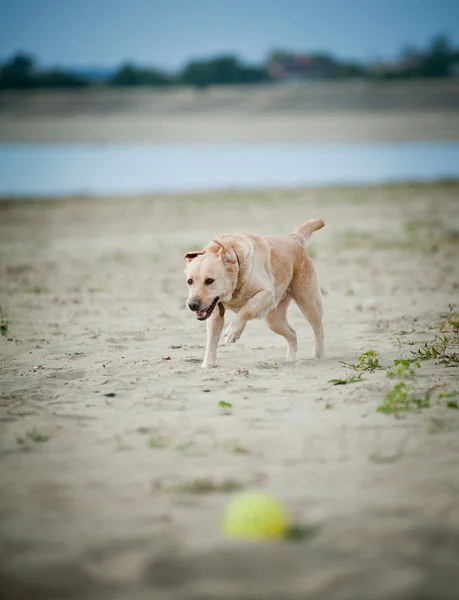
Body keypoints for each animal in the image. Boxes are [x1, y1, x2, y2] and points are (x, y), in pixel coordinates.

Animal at [185, 218, 326, 368]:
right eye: (189, 281)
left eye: (209, 281)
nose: (192, 304)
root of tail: (294, 237)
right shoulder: (215, 313)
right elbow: (211, 342)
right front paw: (207, 365)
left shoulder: (267, 293)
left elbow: (247, 308)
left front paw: (233, 331)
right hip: (273, 320)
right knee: (293, 334)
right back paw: (290, 360)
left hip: (309, 303)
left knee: (318, 330)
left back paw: (320, 357)